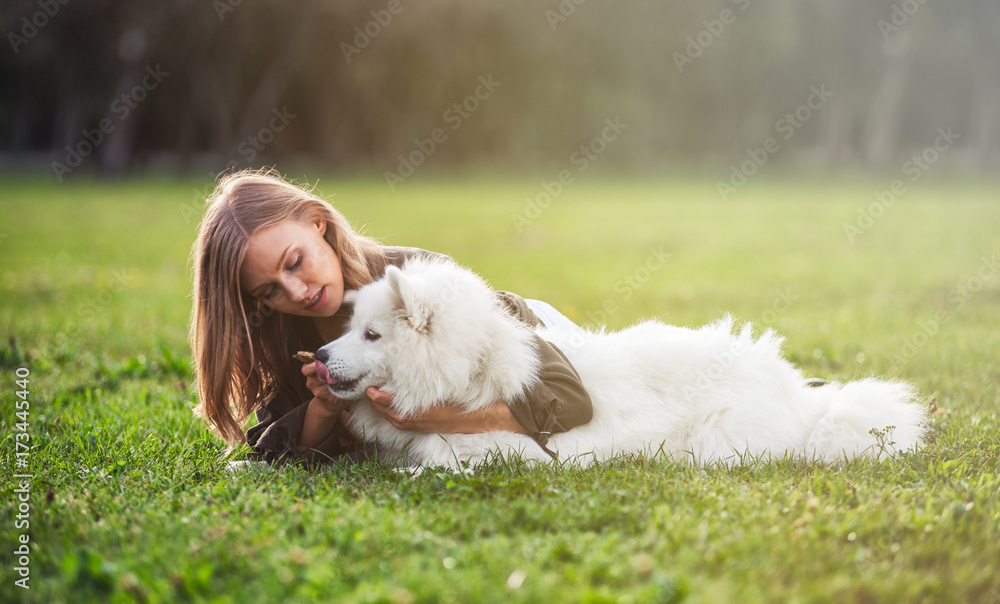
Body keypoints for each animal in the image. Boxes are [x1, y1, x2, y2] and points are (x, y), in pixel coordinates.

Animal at [314, 258, 928, 470]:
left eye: (371, 335)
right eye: (349, 327)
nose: (318, 354)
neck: (471, 375)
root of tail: (806, 401)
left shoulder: (529, 452)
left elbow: (445, 459)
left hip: (715, 442)